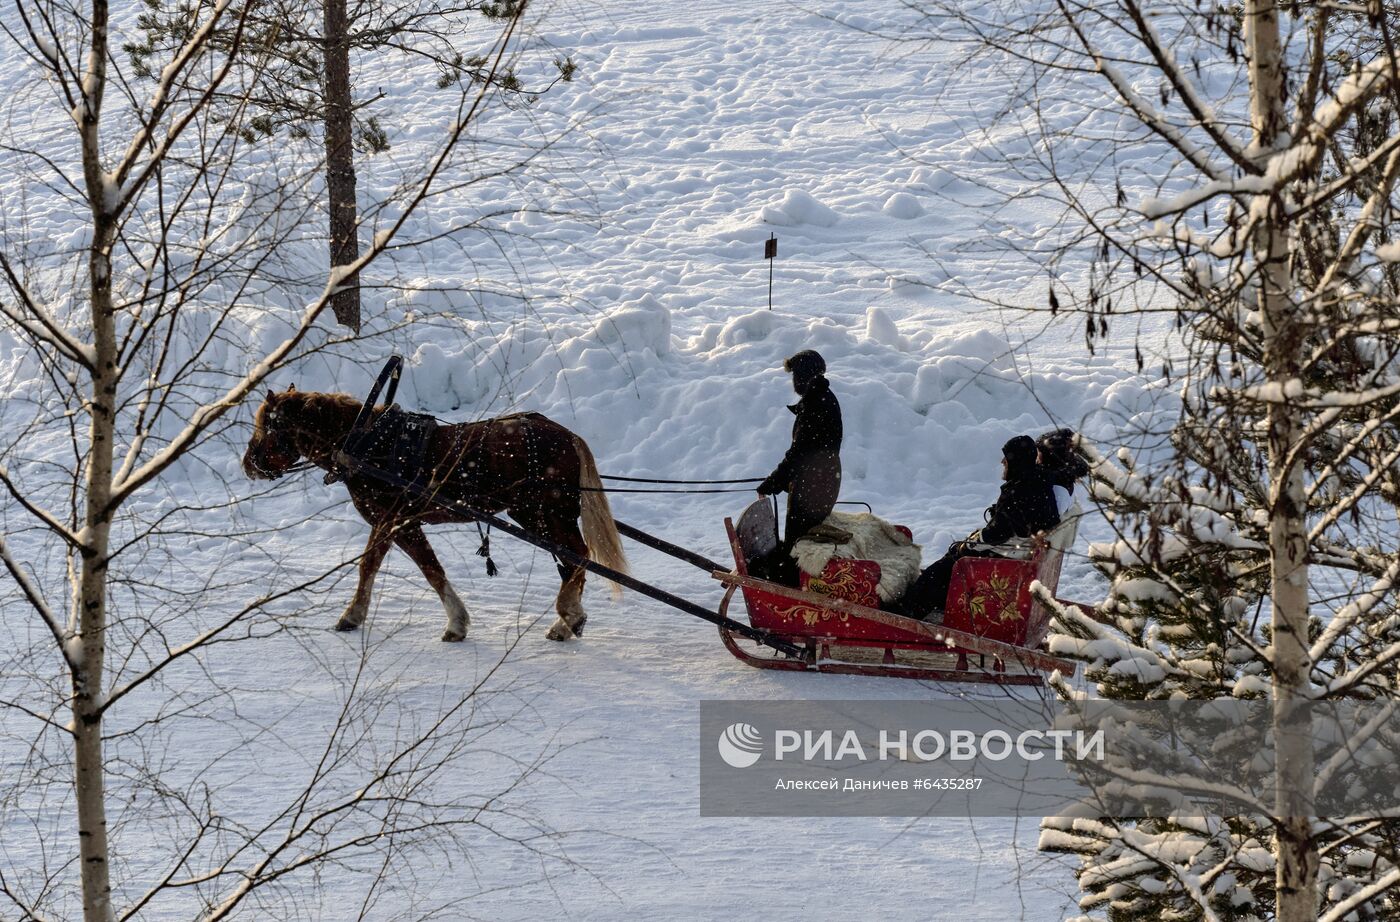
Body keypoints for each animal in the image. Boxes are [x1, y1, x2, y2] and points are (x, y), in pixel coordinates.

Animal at [245, 388, 630, 640]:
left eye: (266, 426)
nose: (248, 464)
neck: (366, 442)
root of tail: (569, 437)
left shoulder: (394, 521)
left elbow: (413, 568)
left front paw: (455, 622)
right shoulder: (394, 522)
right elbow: (395, 567)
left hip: (542, 513)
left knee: (578, 556)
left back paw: (568, 616)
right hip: (543, 516)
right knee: (573, 561)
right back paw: (566, 621)